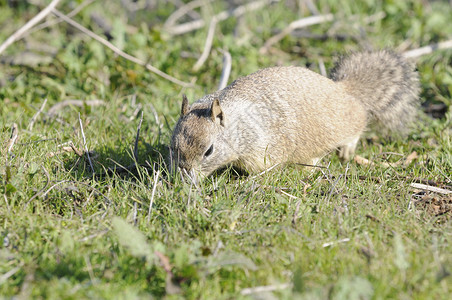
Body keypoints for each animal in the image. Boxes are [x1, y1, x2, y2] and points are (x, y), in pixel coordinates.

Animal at [169, 50, 420, 179]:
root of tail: (345, 90)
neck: (239, 126)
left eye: (209, 151)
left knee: (357, 125)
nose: (184, 176)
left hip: (343, 125)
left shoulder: (263, 151)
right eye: (173, 146)